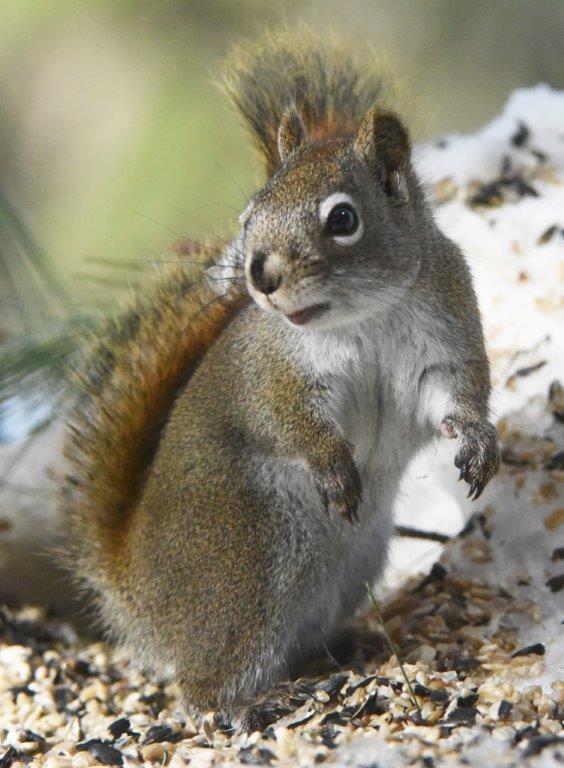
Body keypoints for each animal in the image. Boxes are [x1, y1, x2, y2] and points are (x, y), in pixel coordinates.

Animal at [61, 32, 500, 731]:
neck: (364, 317)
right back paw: (259, 700)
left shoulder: (445, 337)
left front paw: (479, 443)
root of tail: (134, 598)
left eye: (343, 219)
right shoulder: (272, 371)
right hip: (248, 561)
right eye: (251, 213)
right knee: (205, 688)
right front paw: (332, 466)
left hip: (348, 564)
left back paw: (353, 644)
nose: (259, 275)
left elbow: (455, 396)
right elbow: (284, 418)